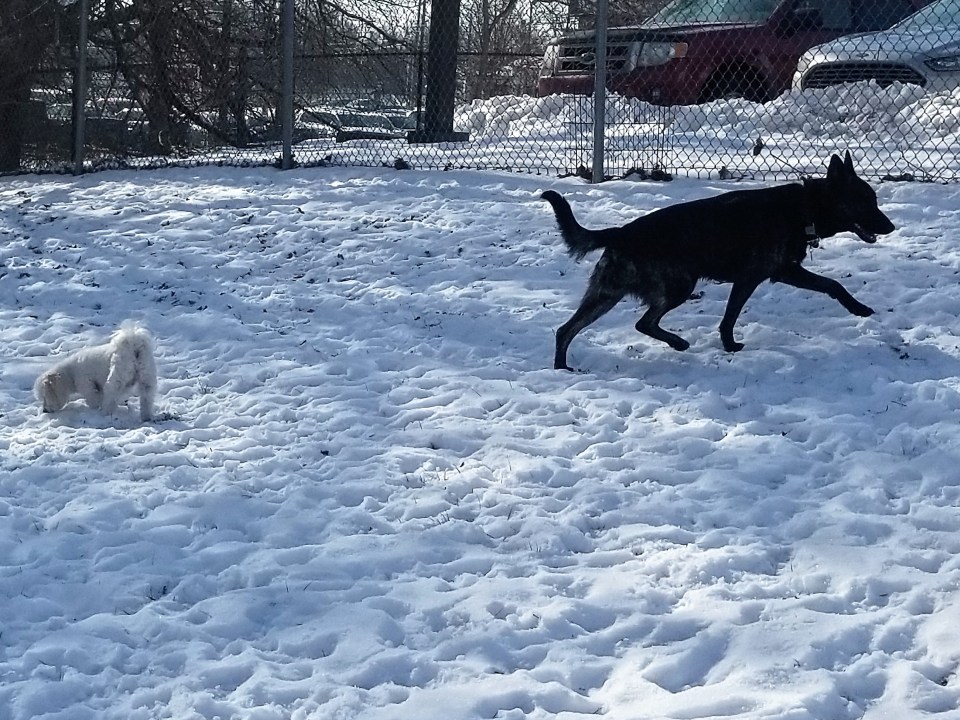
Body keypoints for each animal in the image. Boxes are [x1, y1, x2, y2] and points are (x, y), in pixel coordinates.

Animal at [543, 151, 895, 371]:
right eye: (865, 201)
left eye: (874, 199)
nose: (891, 227)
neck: (804, 206)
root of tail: (620, 233)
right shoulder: (755, 277)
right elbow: (732, 316)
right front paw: (729, 345)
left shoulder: (781, 272)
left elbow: (830, 285)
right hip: (677, 287)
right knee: (640, 323)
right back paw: (677, 344)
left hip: (606, 295)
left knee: (566, 330)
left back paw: (563, 369)